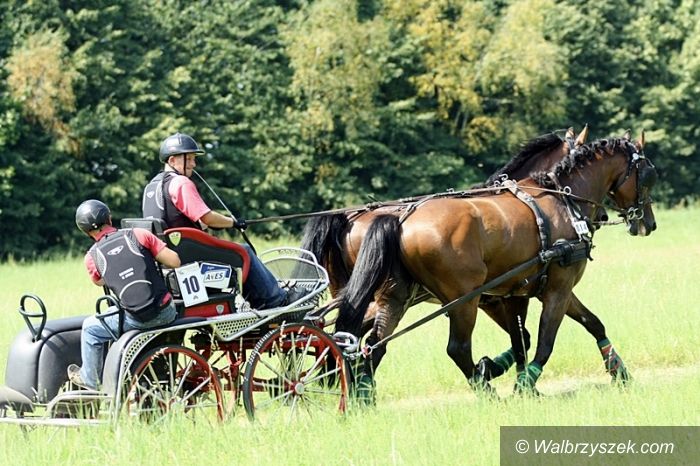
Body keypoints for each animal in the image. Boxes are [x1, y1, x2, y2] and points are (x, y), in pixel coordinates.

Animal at [331, 131, 657, 395]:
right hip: (463, 301)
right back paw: (486, 392)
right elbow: (543, 342)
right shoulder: (557, 289)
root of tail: (399, 221)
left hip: (396, 297)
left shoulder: (521, 293)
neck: (562, 199)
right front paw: (522, 385)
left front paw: (620, 373)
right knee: (456, 349)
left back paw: (362, 396)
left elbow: (575, 328)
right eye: (648, 174)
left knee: (371, 343)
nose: (649, 224)